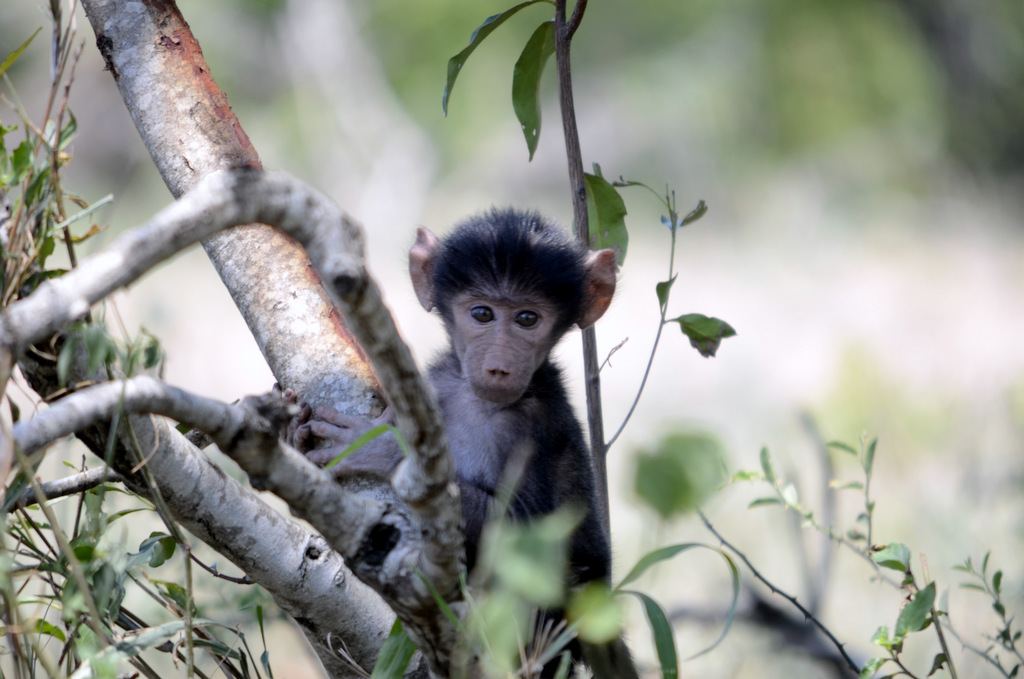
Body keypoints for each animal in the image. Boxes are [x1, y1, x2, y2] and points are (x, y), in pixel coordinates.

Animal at [289, 208, 638, 678]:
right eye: (482, 313)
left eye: (527, 319)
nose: (499, 366)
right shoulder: (437, 383)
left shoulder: (532, 426)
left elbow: (533, 543)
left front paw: (387, 451)